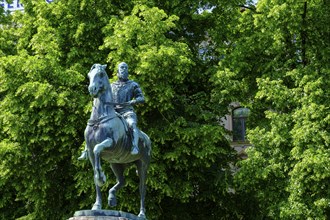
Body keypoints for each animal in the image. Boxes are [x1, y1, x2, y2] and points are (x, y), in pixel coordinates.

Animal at [84, 62, 151, 217]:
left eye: (101, 74)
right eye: (89, 75)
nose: (92, 89)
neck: (99, 120)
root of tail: (146, 138)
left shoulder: (111, 144)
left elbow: (97, 149)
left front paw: (101, 177)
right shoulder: (90, 152)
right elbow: (95, 171)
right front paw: (97, 205)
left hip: (142, 166)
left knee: (142, 189)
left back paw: (141, 214)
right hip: (116, 164)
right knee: (122, 181)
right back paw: (112, 197)